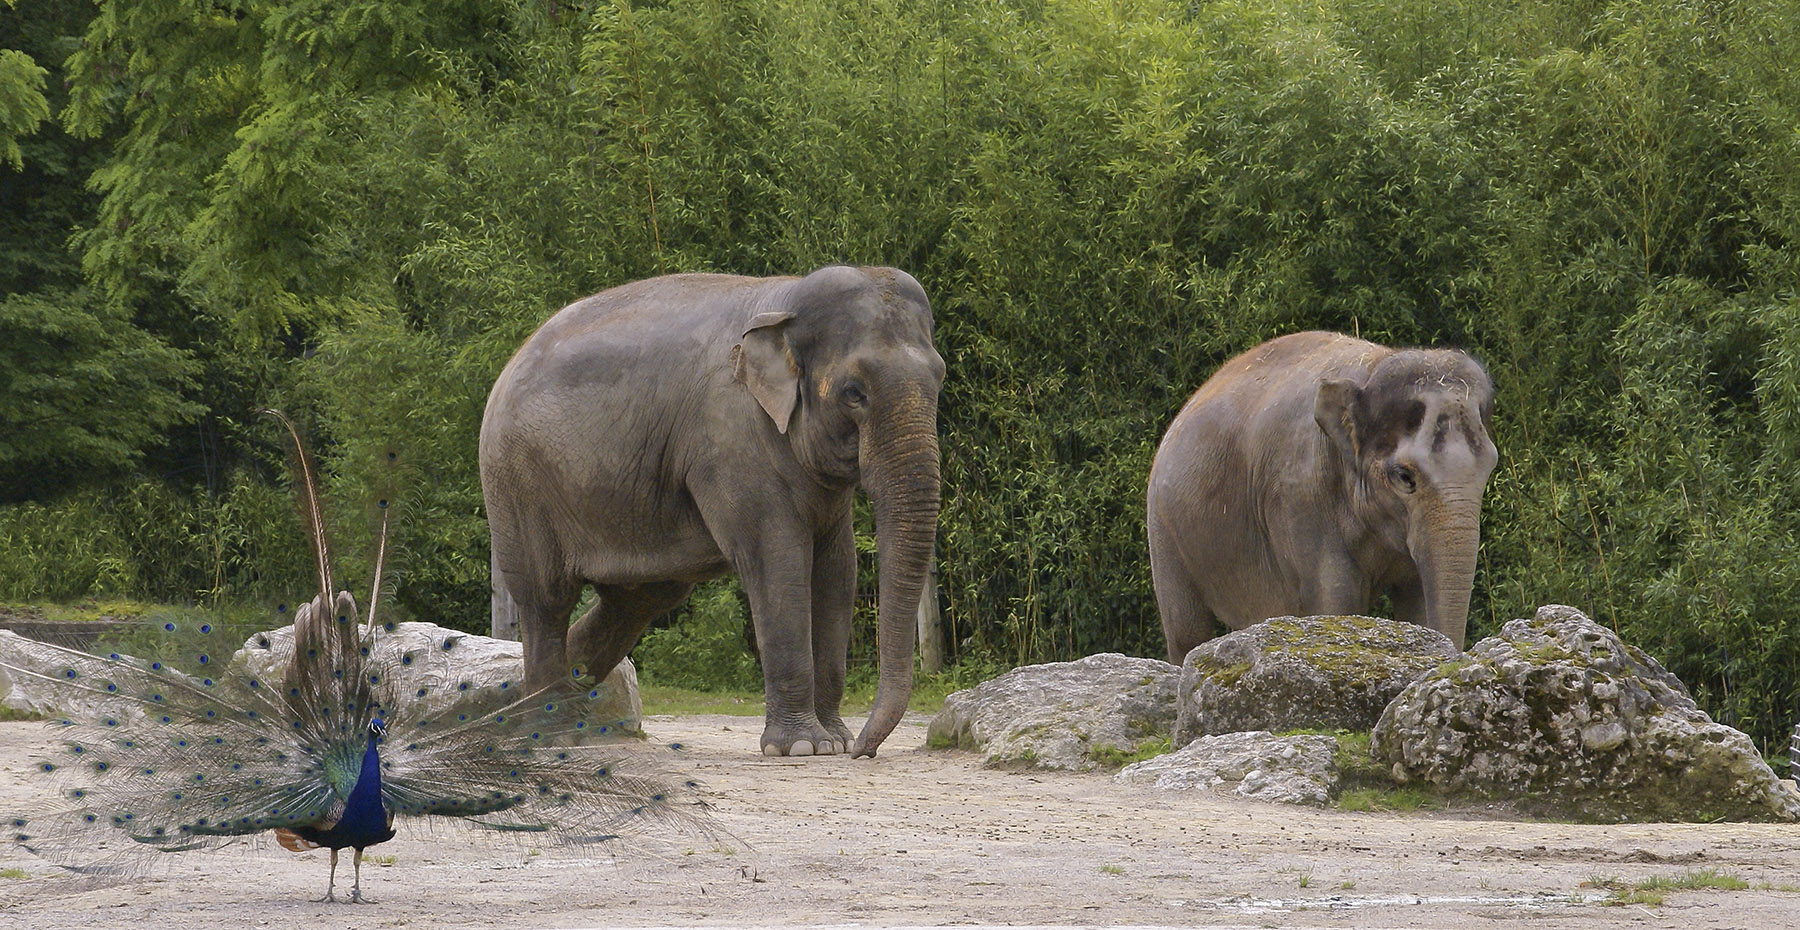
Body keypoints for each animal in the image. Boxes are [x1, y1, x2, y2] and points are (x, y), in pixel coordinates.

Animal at [486, 264, 950, 759]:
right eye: (854, 392)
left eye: (940, 378)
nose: (867, 749)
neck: (786, 300)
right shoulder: (731, 438)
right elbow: (778, 562)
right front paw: (802, 748)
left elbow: (838, 571)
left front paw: (835, 742)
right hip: (517, 485)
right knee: (546, 600)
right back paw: (549, 733)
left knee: (637, 601)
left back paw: (542, 719)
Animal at [1144, 325, 1497, 658]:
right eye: (1404, 476)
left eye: (1490, 467)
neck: (1372, 367)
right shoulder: (1300, 493)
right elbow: (1336, 597)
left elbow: (1419, 599)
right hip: (1163, 530)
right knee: (1186, 630)